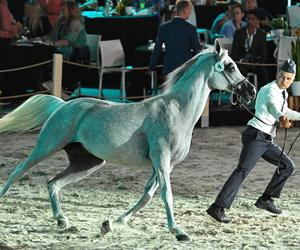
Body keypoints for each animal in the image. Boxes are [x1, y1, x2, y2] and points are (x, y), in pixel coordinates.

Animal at [0, 41, 255, 240]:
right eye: (230, 66)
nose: (250, 90)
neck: (176, 110)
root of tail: (64, 104)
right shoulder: (161, 159)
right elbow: (166, 194)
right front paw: (178, 231)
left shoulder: (165, 164)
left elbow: (147, 196)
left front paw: (110, 224)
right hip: (46, 146)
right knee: (18, 172)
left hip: (87, 162)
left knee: (53, 183)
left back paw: (62, 221)